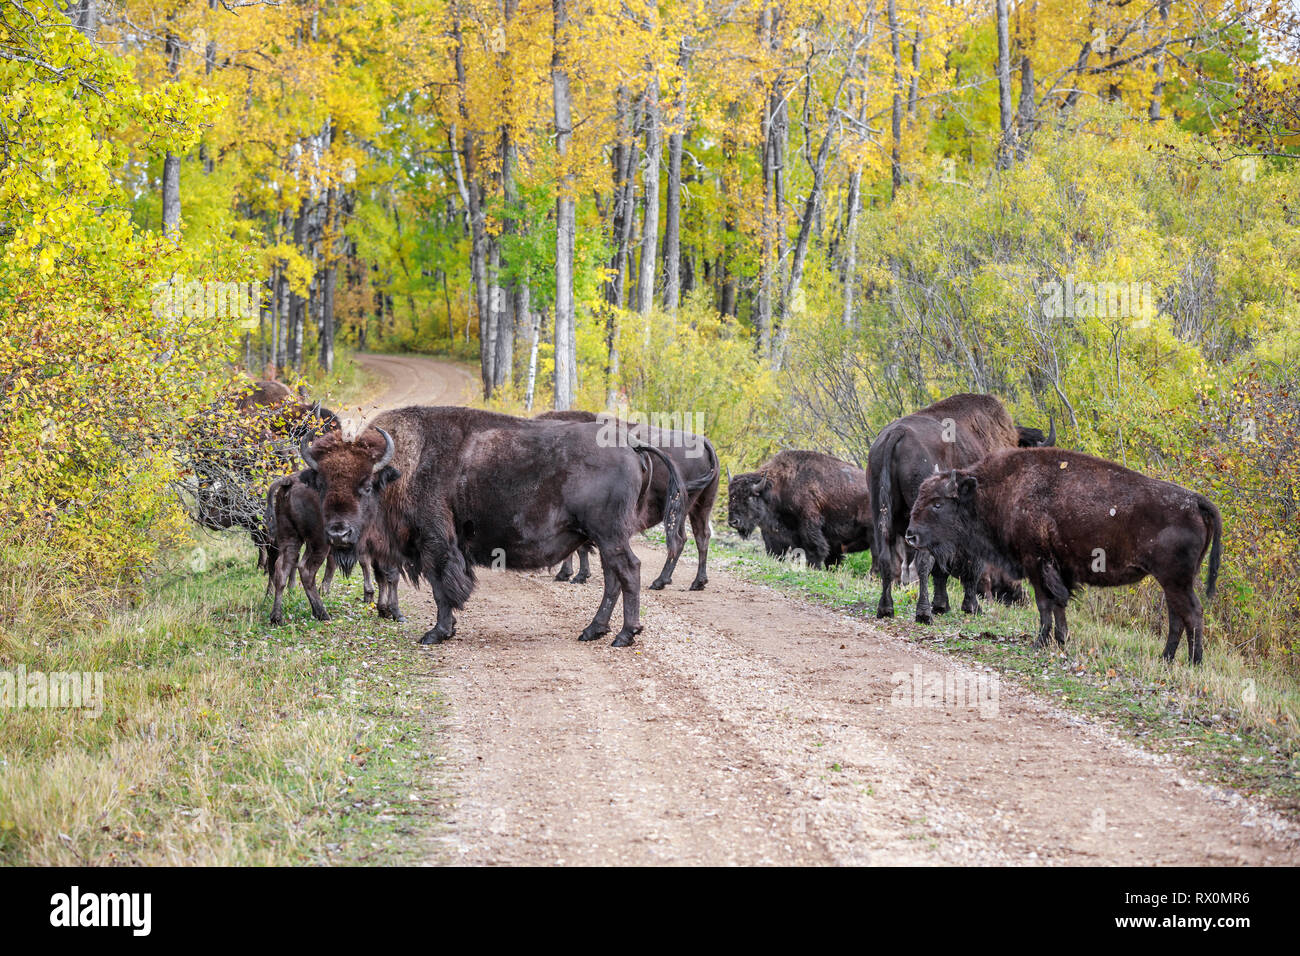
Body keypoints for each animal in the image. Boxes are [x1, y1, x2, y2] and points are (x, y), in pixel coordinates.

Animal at [300, 408, 691, 647]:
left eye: (366, 485)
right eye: (322, 483)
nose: (338, 533)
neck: (401, 468)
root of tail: (630, 445)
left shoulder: (435, 543)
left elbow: (443, 589)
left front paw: (436, 633)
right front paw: (446, 630)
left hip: (609, 535)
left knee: (629, 571)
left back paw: (624, 635)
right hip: (602, 537)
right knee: (613, 578)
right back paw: (593, 630)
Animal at [535, 411, 728, 590]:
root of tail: (704, 442)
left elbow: (580, 547)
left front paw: (573, 575)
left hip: (679, 509)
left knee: (680, 540)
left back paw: (659, 581)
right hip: (701, 506)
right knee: (701, 537)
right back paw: (698, 582)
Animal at [722, 450, 873, 567]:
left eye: (749, 497)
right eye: (731, 496)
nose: (733, 522)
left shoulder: (809, 524)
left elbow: (815, 549)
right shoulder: (773, 533)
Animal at [868, 392, 1050, 624]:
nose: (1022, 596)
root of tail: (896, 433)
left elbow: (942, 569)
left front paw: (942, 605)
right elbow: (970, 566)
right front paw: (971, 607)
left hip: (880, 515)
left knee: (886, 559)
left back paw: (886, 609)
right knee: (922, 562)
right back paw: (923, 614)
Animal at [909, 450, 1222, 665]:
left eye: (937, 503)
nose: (910, 535)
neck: (1002, 489)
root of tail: (1195, 501)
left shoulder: (1036, 564)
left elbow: (1045, 603)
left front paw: (1041, 642)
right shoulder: (1053, 569)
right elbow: (1058, 604)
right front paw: (1060, 639)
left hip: (1176, 580)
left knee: (1192, 613)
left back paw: (1194, 663)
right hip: (1173, 582)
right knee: (1177, 616)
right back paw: (1166, 658)